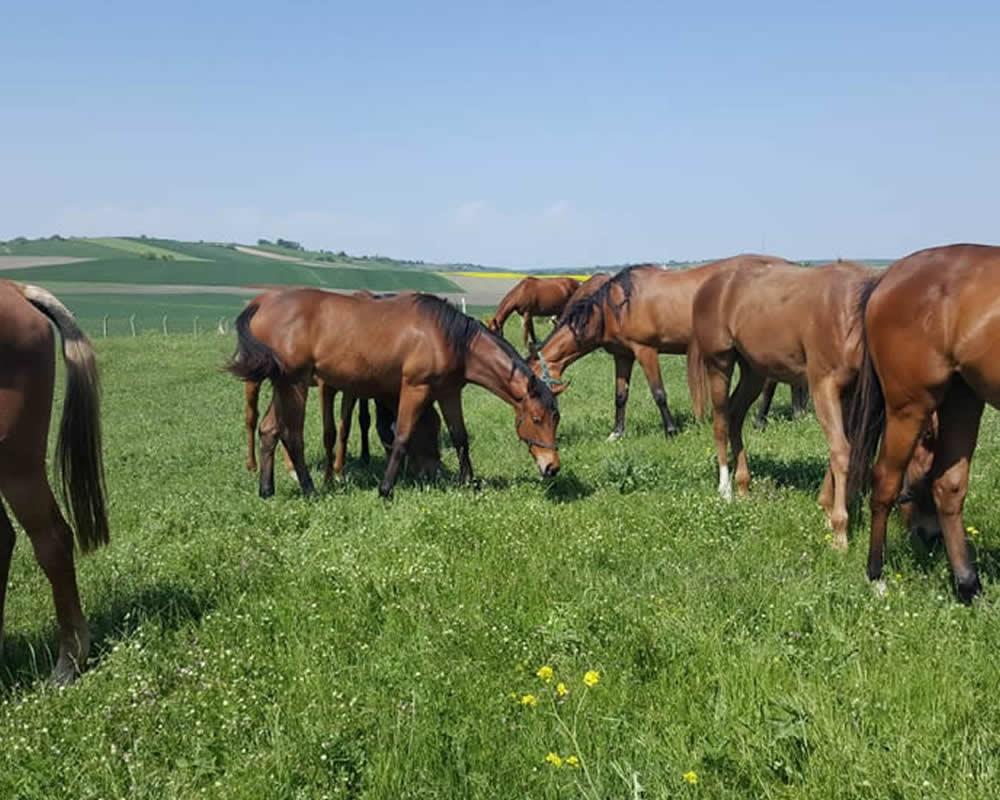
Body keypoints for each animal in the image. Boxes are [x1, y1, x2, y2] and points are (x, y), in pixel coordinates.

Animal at [229, 290, 564, 496]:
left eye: (555, 419)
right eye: (536, 419)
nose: (552, 468)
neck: (449, 338)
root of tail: (263, 303)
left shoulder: (448, 393)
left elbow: (460, 437)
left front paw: (469, 481)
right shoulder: (415, 389)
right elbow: (402, 436)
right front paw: (386, 489)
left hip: (283, 385)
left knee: (269, 429)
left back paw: (267, 490)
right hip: (295, 385)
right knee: (292, 435)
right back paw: (310, 490)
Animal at [532, 256, 796, 440]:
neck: (616, 307)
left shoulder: (645, 350)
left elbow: (658, 393)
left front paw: (670, 430)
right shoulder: (623, 356)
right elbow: (620, 395)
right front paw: (617, 432)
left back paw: (760, 421)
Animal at [692, 260, 872, 548]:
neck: (852, 312)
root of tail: (710, 283)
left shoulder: (850, 393)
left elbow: (844, 450)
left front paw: (827, 509)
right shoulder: (823, 386)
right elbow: (842, 453)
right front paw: (839, 531)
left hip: (754, 372)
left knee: (735, 416)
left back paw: (743, 485)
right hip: (719, 363)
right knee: (721, 423)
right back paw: (725, 490)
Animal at [848, 242, 1000, 600]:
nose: (927, 535)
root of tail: (888, 275)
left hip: (962, 398)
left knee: (949, 485)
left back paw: (968, 586)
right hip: (910, 406)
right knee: (885, 481)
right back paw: (876, 574)